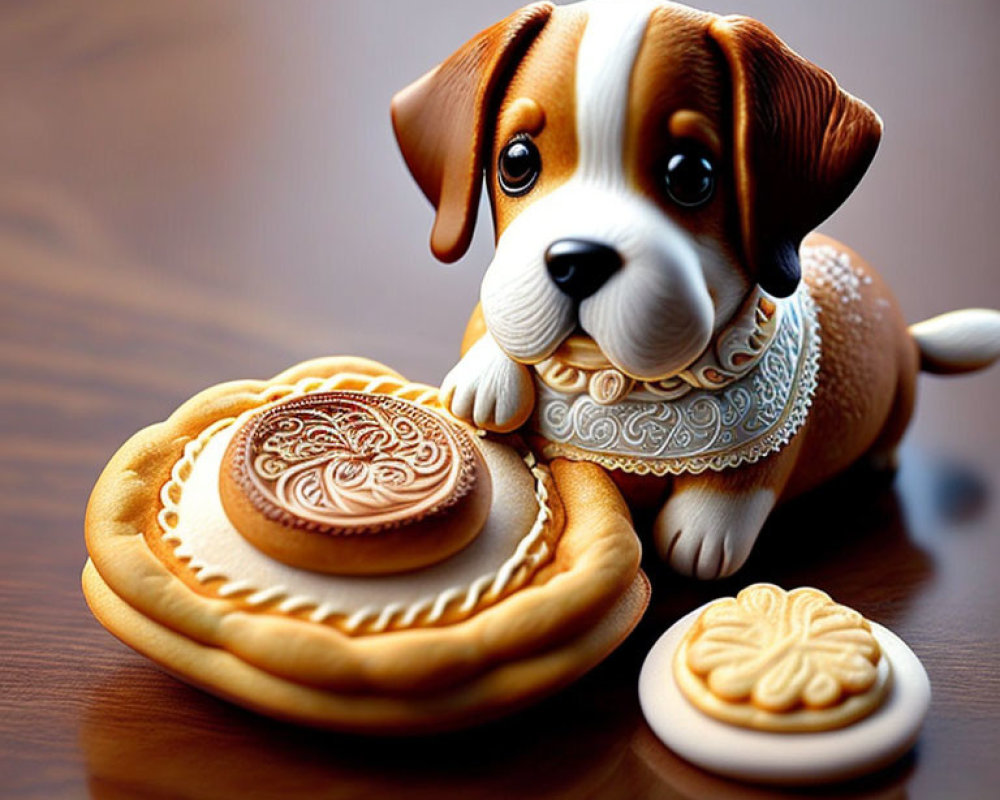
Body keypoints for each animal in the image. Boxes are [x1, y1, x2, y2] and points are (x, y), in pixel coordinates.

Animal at [392, 0, 1000, 576]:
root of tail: (906, 334)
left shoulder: (768, 443)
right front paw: (487, 377)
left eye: (690, 176)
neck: (613, 381)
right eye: (516, 161)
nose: (577, 262)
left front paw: (705, 532)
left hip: (899, 398)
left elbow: (745, 479)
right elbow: (492, 319)